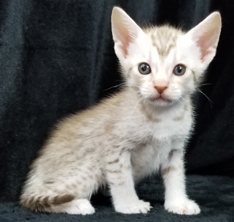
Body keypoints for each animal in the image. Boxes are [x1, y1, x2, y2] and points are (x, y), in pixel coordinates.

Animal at [19, 6, 221, 215]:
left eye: (179, 70)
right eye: (144, 68)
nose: (160, 86)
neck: (160, 116)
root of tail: (35, 173)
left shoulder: (175, 149)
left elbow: (176, 177)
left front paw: (177, 202)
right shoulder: (114, 148)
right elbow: (122, 179)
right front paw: (129, 204)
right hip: (88, 168)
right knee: (35, 198)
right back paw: (77, 204)